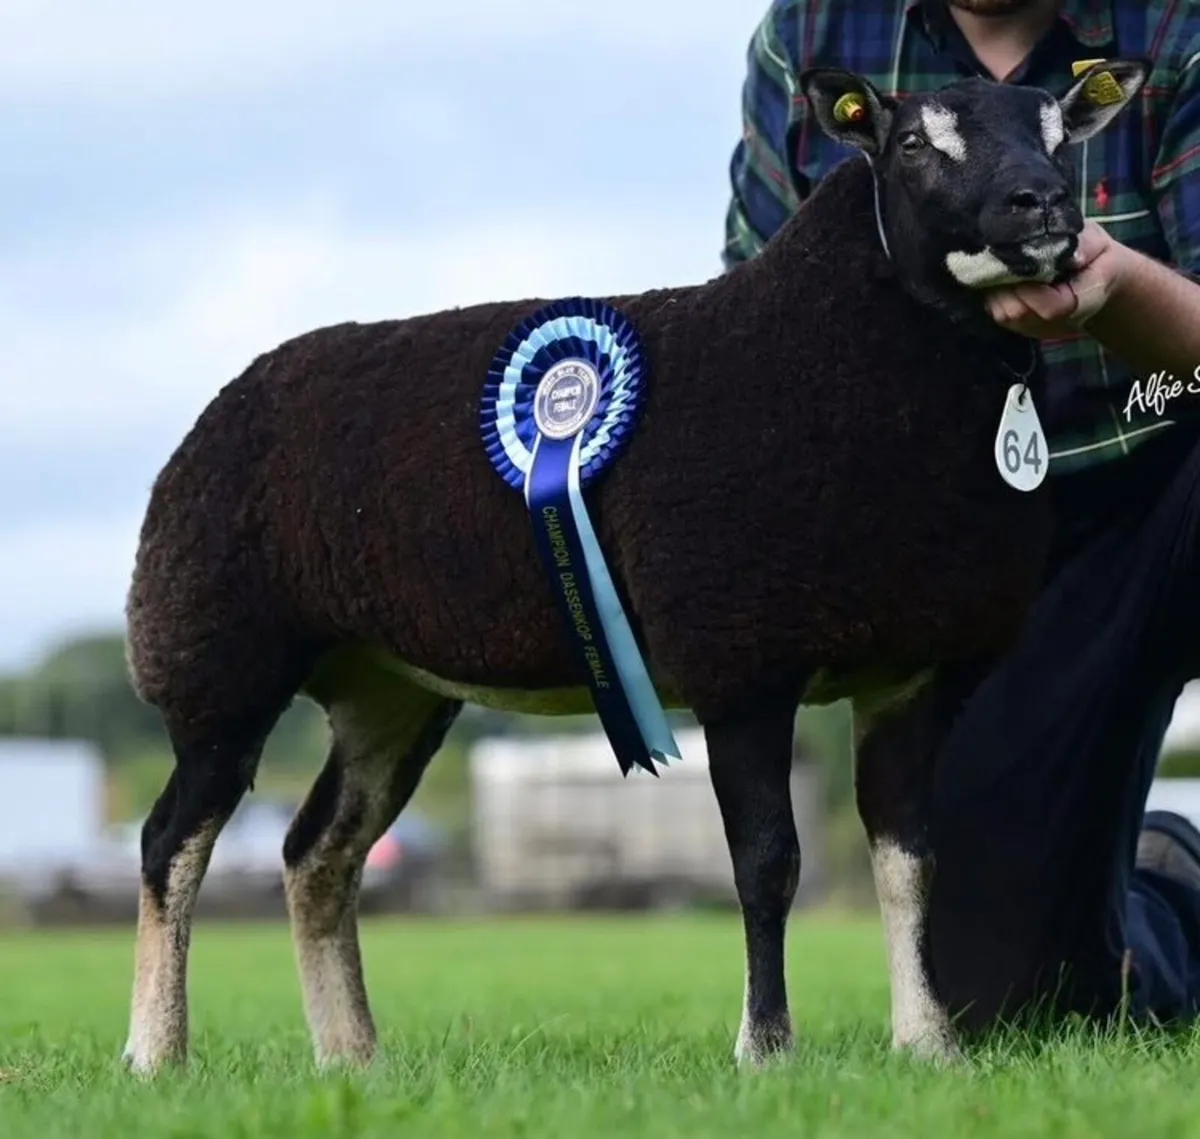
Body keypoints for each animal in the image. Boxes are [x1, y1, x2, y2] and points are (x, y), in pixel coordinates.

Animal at [119, 60, 1148, 1075]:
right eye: (912, 146)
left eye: (1062, 133)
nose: (1042, 203)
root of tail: (225, 404)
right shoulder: (742, 661)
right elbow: (768, 862)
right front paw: (766, 1048)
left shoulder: (911, 674)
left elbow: (910, 861)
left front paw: (928, 1044)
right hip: (220, 660)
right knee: (172, 840)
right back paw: (156, 1050)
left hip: (385, 687)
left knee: (316, 853)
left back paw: (351, 1057)